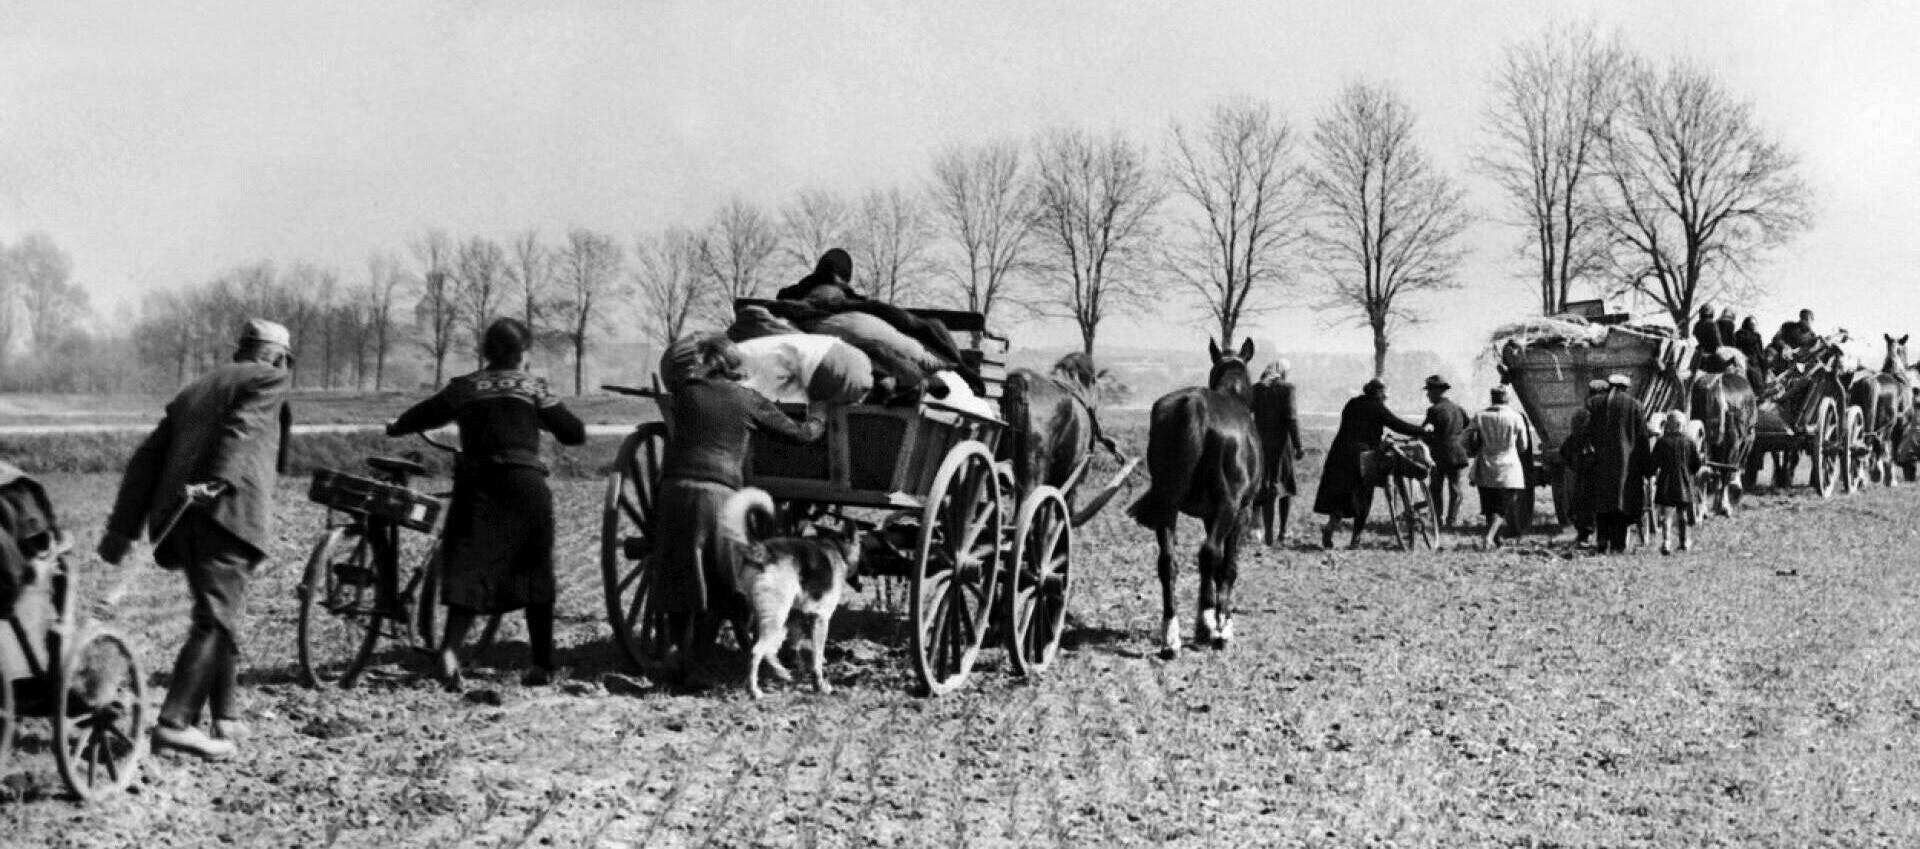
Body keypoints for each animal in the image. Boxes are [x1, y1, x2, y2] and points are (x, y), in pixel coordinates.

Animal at [721, 487, 864, 699]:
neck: (836, 548)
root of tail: (762, 550)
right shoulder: (821, 619)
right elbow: (817, 658)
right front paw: (820, 685)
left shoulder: (796, 617)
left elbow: (793, 647)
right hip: (776, 616)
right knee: (757, 651)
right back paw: (754, 690)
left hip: (771, 616)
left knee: (765, 648)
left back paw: (781, 673)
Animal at [1121, 336, 1267, 656]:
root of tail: (1194, 407)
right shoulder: (1239, 512)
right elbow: (1227, 566)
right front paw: (1220, 624)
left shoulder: (1208, 516)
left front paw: (1204, 620)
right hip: (1228, 507)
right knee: (1210, 553)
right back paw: (1216, 629)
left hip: (1168, 506)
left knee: (1168, 562)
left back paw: (1170, 636)